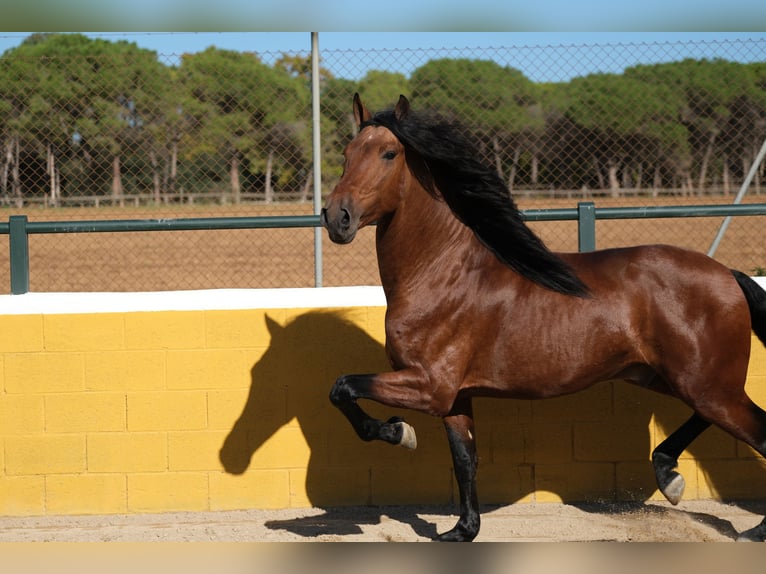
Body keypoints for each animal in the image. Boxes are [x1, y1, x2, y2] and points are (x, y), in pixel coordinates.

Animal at [320, 92, 766, 544]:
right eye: (347, 153)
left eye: (389, 153)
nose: (336, 217)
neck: (442, 273)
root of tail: (727, 273)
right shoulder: (455, 396)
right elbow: (465, 459)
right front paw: (463, 530)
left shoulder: (429, 387)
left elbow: (343, 388)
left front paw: (399, 431)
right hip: (669, 378)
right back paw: (668, 474)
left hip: (709, 387)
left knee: (759, 431)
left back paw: (753, 528)